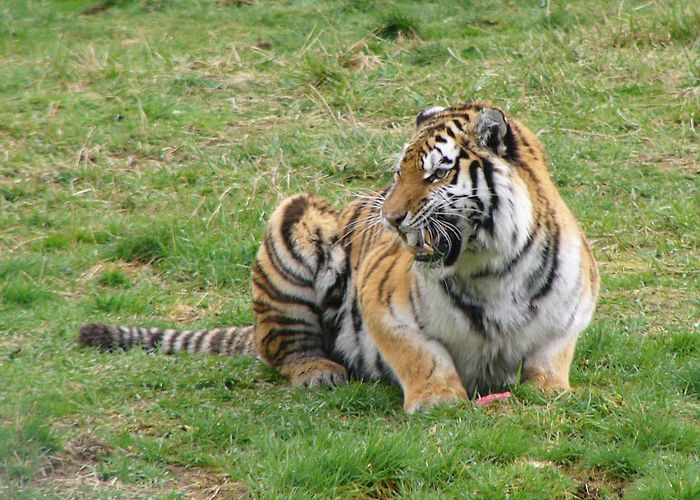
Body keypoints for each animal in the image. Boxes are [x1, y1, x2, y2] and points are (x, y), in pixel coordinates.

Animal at [79, 102, 599, 413]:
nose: (391, 218)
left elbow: (549, 354)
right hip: (293, 219)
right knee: (282, 346)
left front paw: (549, 390)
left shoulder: (571, 310)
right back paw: (319, 372)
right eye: (399, 172)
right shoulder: (383, 305)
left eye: (436, 174)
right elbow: (423, 356)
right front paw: (437, 399)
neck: (491, 268)